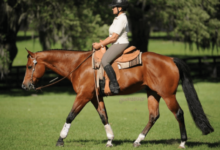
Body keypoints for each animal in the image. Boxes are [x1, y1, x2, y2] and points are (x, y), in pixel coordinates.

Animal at [21, 49, 213, 148]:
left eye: (30, 66)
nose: (24, 86)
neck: (79, 66)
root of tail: (170, 59)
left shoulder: (83, 96)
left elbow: (70, 116)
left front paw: (61, 139)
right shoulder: (94, 97)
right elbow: (103, 116)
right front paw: (110, 139)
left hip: (168, 95)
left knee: (178, 113)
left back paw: (182, 142)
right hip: (153, 93)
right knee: (153, 116)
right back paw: (137, 141)